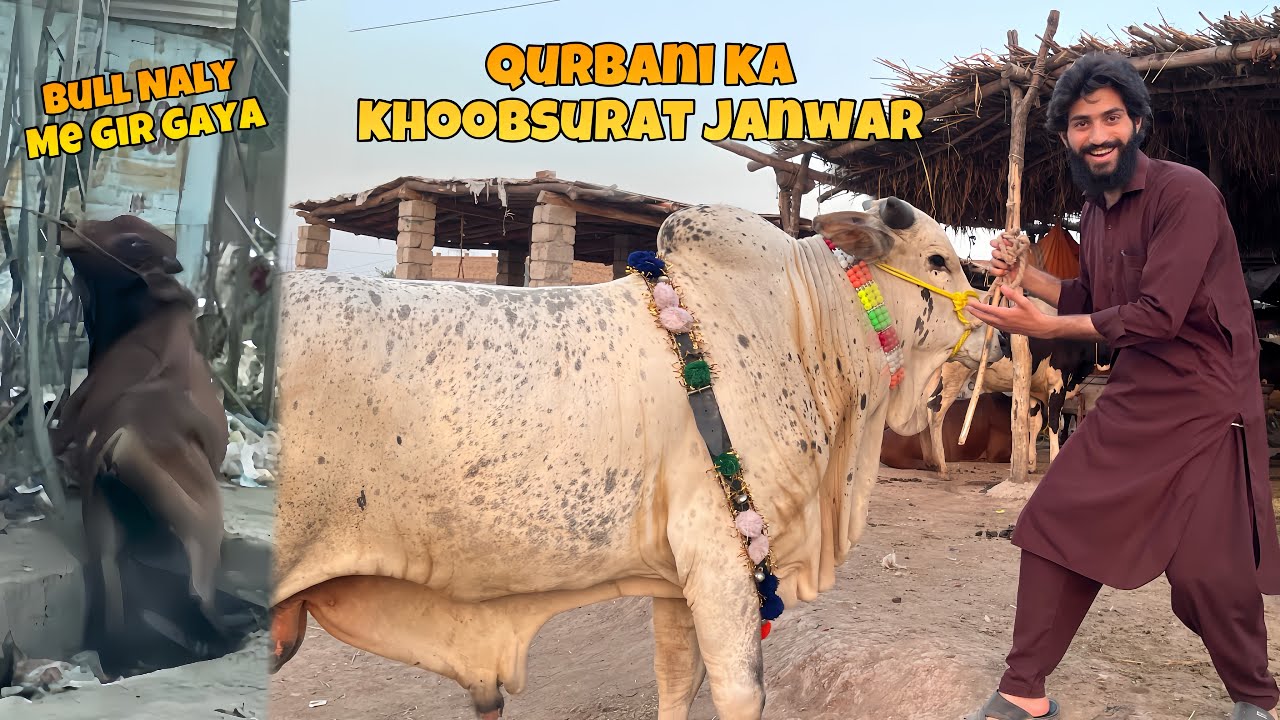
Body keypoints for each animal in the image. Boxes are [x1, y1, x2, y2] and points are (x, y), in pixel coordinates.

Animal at [267, 199, 1001, 720]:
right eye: (939, 260)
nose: (994, 330)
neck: (802, 320)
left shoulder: (679, 579)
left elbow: (675, 683)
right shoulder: (721, 556)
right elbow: (740, 694)